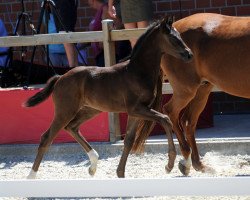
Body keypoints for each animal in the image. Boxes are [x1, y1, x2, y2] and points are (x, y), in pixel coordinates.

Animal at [25, 16, 192, 178]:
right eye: (173, 38)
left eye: (179, 35)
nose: (189, 54)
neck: (137, 72)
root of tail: (60, 78)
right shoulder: (136, 109)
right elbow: (166, 119)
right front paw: (169, 165)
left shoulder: (136, 112)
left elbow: (129, 140)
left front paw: (120, 173)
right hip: (65, 111)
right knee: (47, 137)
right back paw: (31, 176)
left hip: (90, 110)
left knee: (71, 127)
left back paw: (93, 165)